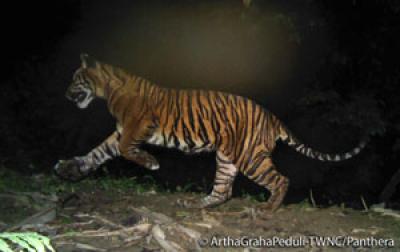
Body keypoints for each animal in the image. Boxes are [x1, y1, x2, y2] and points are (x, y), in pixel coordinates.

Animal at [54, 54, 368, 212]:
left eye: (75, 79)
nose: (66, 94)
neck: (107, 91)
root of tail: (271, 116)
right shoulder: (122, 132)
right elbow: (97, 153)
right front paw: (69, 168)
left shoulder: (137, 127)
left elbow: (123, 151)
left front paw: (152, 163)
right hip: (228, 157)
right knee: (223, 190)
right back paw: (199, 204)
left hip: (250, 157)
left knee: (280, 179)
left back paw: (268, 208)